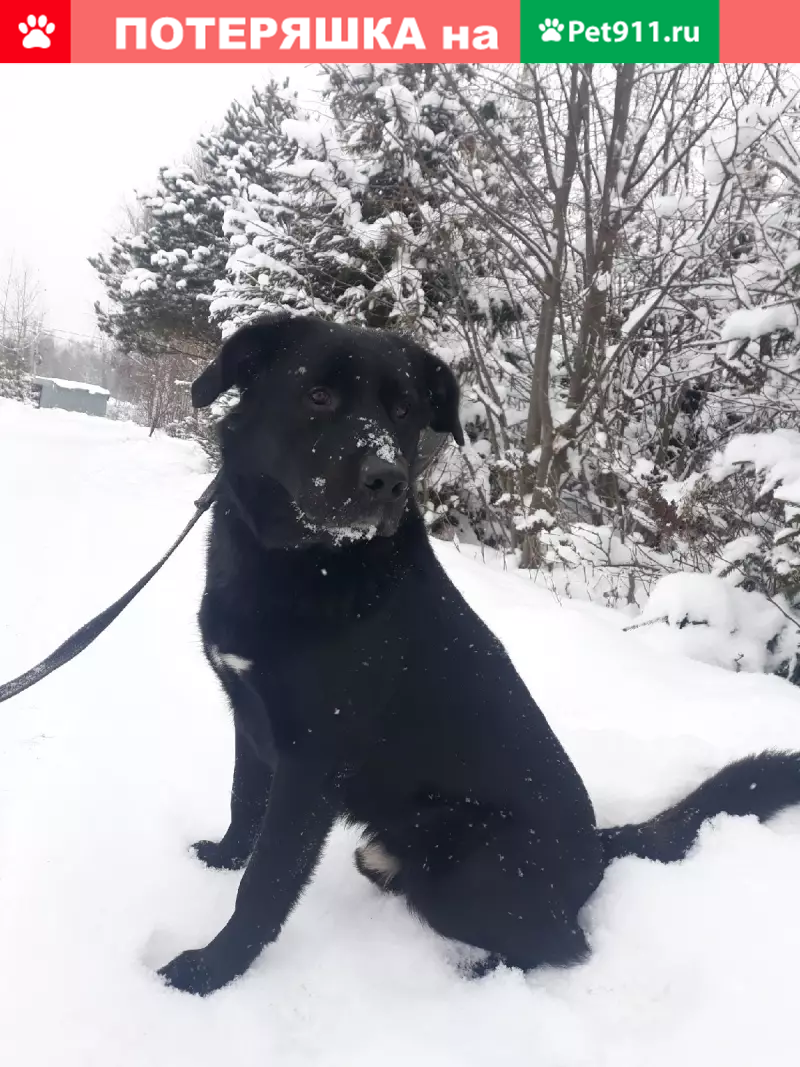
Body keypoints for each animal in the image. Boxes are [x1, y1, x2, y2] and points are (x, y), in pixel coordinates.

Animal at [160, 311, 800, 994]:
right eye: (318, 395)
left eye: (405, 411)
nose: (388, 480)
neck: (302, 565)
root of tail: (598, 846)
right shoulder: (250, 720)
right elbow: (243, 804)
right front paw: (222, 859)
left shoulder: (310, 764)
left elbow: (267, 882)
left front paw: (210, 969)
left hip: (462, 864)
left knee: (563, 944)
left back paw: (480, 973)